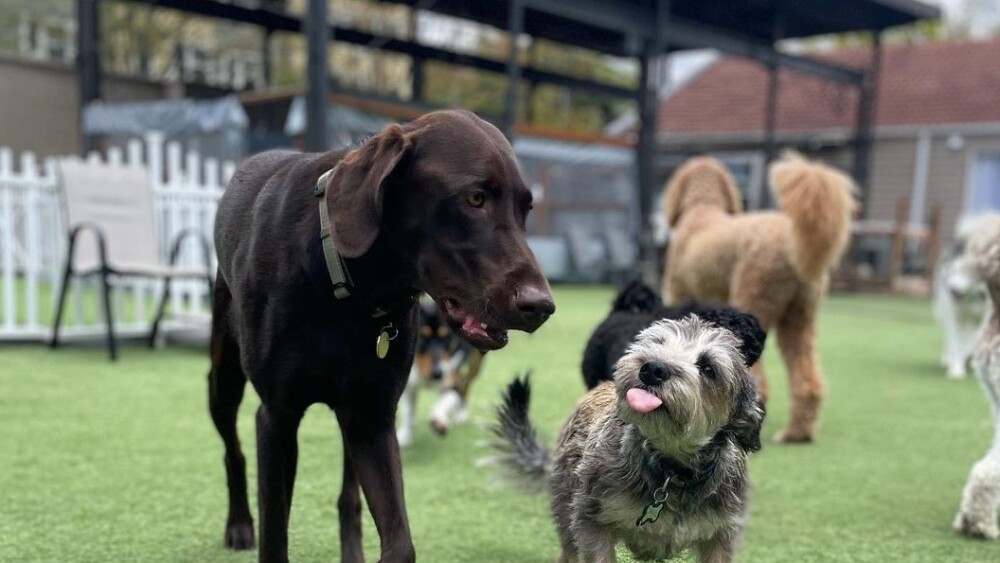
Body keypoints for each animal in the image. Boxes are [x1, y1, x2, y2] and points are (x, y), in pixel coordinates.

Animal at [492, 318, 764, 563]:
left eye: (708, 368)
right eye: (657, 343)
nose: (652, 368)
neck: (672, 471)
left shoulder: (721, 535)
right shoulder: (591, 520)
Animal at [660, 154, 856, 446]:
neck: (702, 210)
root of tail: (789, 241)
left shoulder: (678, 294)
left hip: (754, 300)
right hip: (799, 317)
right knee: (807, 380)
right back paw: (796, 433)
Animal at [932, 216, 988, 378]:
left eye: (968, 271)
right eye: (953, 269)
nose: (951, 290)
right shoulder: (954, 316)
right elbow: (956, 342)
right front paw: (956, 370)